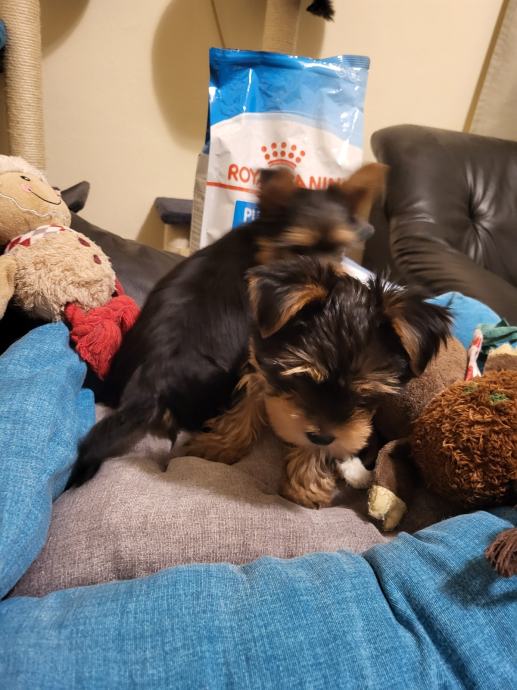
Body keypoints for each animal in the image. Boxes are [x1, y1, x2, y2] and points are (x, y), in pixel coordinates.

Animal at [185, 257, 452, 509]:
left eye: (365, 395)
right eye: (301, 378)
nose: (322, 437)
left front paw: (306, 485)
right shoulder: (259, 363)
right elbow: (247, 402)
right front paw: (220, 444)